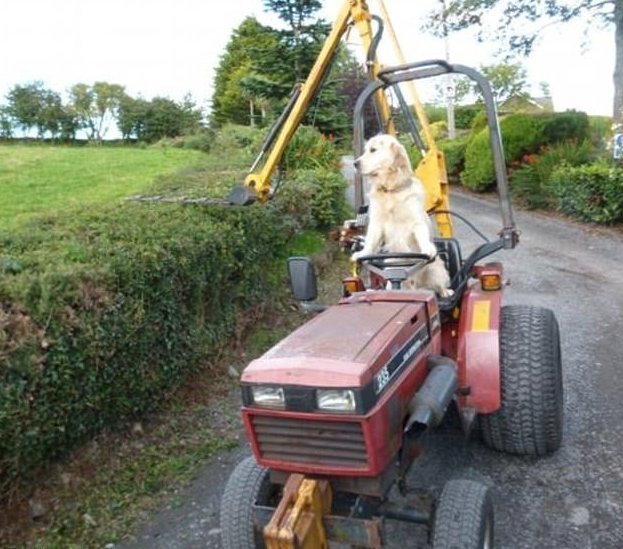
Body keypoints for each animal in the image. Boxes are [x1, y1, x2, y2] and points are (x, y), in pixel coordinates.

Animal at [352, 134, 454, 296]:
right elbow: (371, 241)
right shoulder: (377, 224)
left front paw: (427, 248)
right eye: (366, 150)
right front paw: (362, 253)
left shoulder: (416, 222)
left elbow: (421, 235)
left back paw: (446, 292)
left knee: (440, 285)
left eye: (373, 150)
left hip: (436, 271)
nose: (355, 163)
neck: (391, 190)